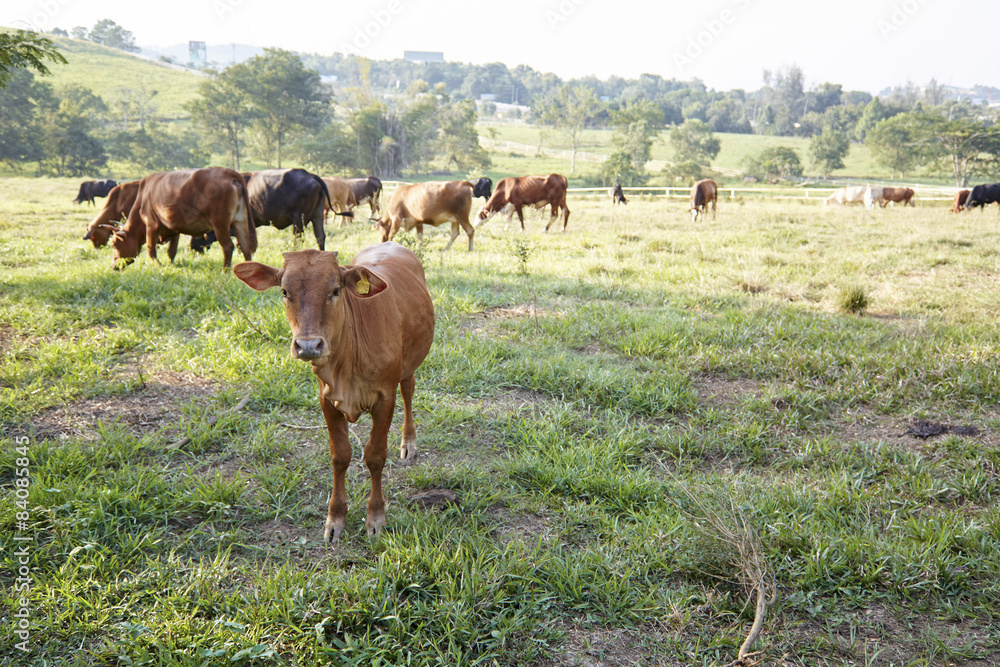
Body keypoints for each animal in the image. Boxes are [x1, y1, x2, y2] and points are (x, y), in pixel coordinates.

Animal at [111, 168, 256, 270]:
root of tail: (228, 172)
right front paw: (171, 264)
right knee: (245, 246)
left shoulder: (151, 225)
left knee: (228, 246)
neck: (143, 197)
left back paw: (225, 271)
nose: (113, 267)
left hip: (220, 224)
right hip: (240, 221)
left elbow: (150, 249)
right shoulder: (173, 228)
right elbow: (171, 251)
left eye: (114, 244)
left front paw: (158, 265)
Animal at [236, 243, 440, 544]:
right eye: (284, 292)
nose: (309, 345)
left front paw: (375, 517)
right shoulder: (327, 400)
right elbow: (340, 456)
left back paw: (409, 443)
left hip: (409, 364)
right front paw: (335, 519)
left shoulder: (385, 398)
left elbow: (375, 456)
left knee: (409, 390)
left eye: (335, 290)